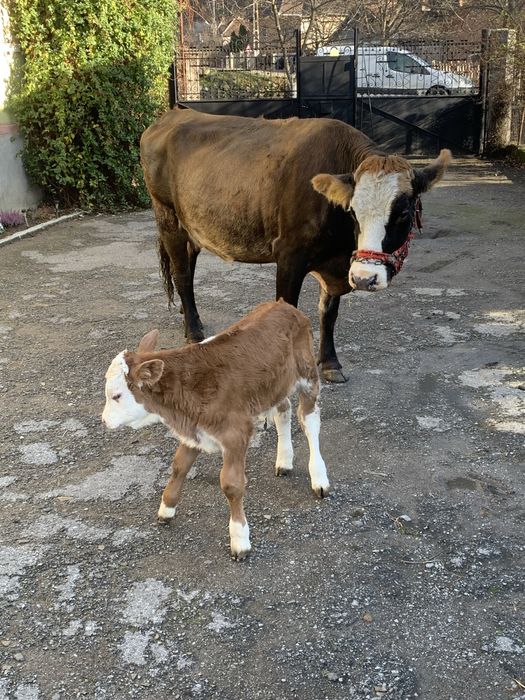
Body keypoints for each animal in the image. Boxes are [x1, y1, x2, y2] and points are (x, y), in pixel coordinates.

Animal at [101, 300, 329, 560]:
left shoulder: (235, 433)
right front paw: (167, 508)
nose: (104, 421)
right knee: (284, 410)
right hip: (275, 385)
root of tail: (285, 305)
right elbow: (179, 466)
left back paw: (319, 477)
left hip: (308, 374)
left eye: (116, 396)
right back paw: (284, 460)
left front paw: (240, 539)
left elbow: (231, 484)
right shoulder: (194, 429)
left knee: (309, 420)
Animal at [140, 107, 452, 383]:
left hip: (192, 227)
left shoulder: (338, 264)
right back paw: (193, 332)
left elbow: (329, 312)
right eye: (352, 211)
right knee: (182, 275)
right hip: (167, 217)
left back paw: (189, 316)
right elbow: (287, 309)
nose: (365, 277)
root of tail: (172, 115)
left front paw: (330, 363)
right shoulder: (290, 255)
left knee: (187, 269)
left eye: (403, 213)